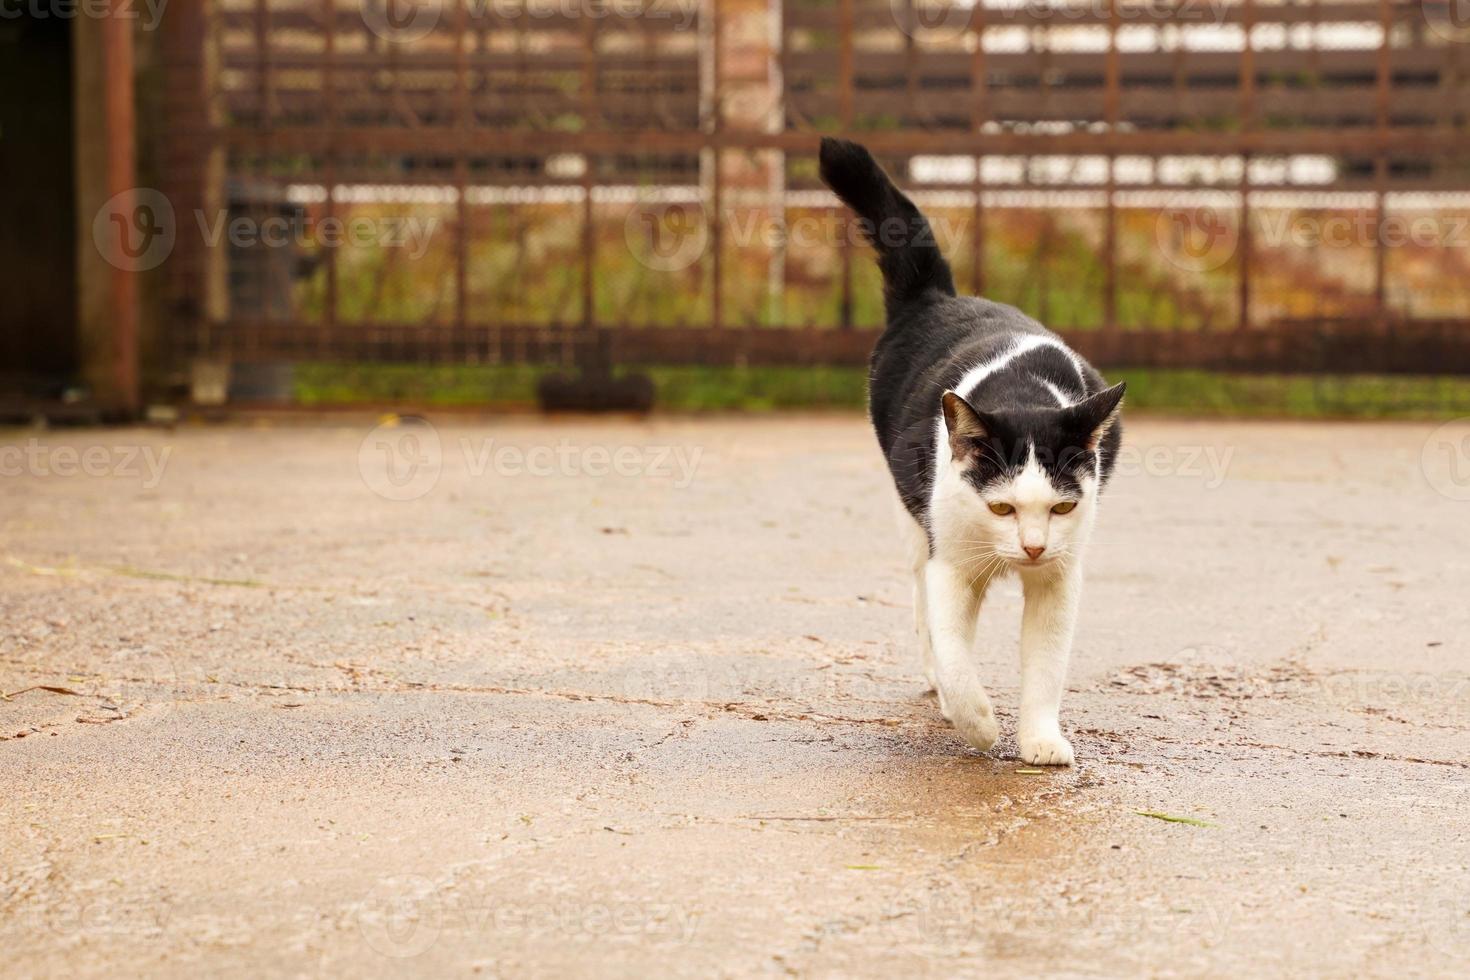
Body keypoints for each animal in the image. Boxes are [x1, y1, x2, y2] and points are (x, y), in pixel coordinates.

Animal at [817, 135, 1123, 764]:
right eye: (1001, 506)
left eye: (1061, 507)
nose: (1032, 547)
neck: (1022, 392)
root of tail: (937, 297)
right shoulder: (951, 563)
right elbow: (955, 654)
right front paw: (978, 723)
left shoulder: (1060, 575)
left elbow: (1046, 663)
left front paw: (1040, 739)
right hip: (916, 523)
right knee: (925, 615)